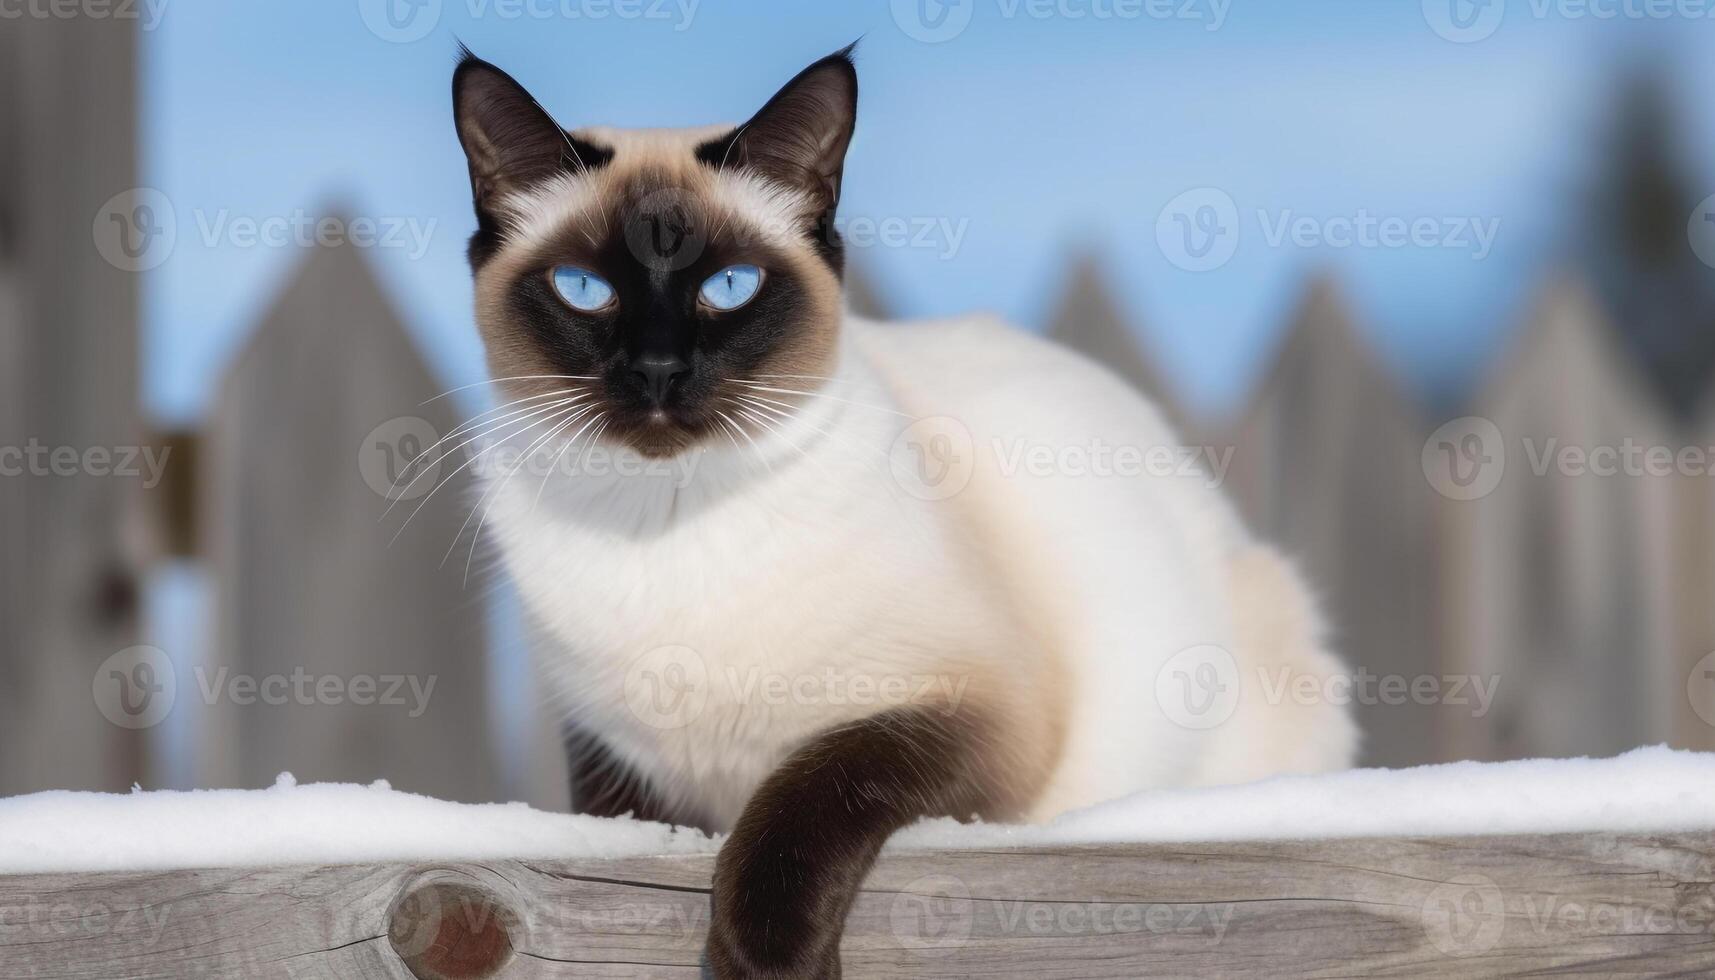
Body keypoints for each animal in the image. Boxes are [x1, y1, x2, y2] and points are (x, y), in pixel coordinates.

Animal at [452, 45, 1351, 980]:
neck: (665, 523)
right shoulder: (608, 753)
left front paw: (763, 959)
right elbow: (635, 832)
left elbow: (812, 786)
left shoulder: (967, 711)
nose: (658, 370)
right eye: (582, 289)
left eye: (730, 287)